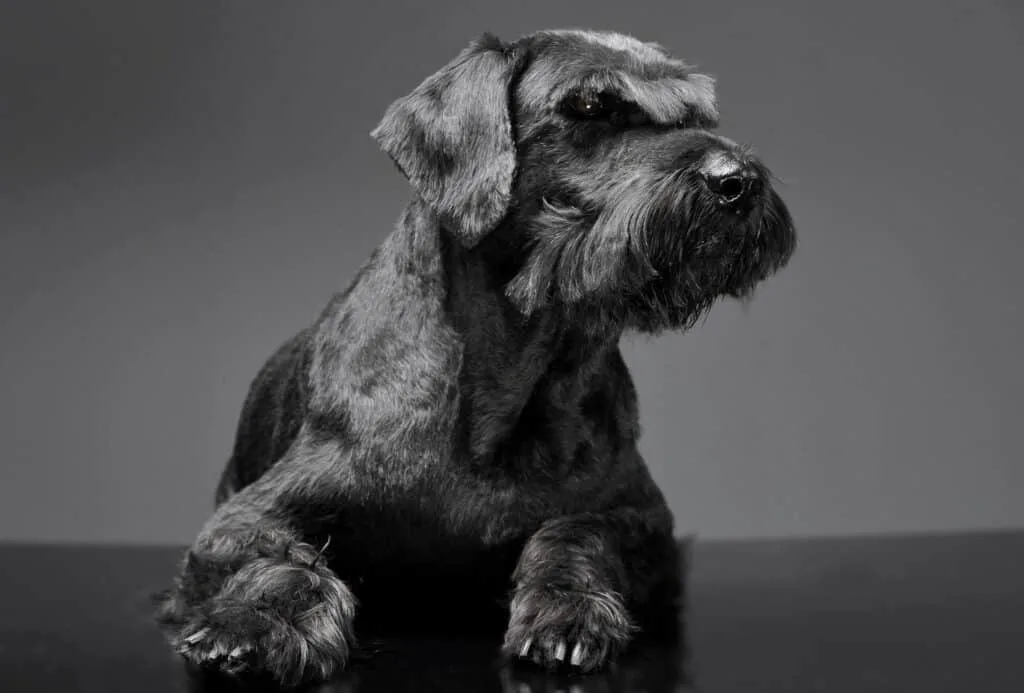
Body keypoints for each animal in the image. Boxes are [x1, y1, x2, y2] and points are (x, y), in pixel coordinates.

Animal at [151, 28, 794, 687]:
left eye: (698, 114)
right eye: (590, 104)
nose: (738, 181)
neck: (512, 383)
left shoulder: (644, 522)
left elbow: (576, 530)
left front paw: (567, 610)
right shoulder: (243, 517)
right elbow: (282, 558)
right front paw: (253, 624)